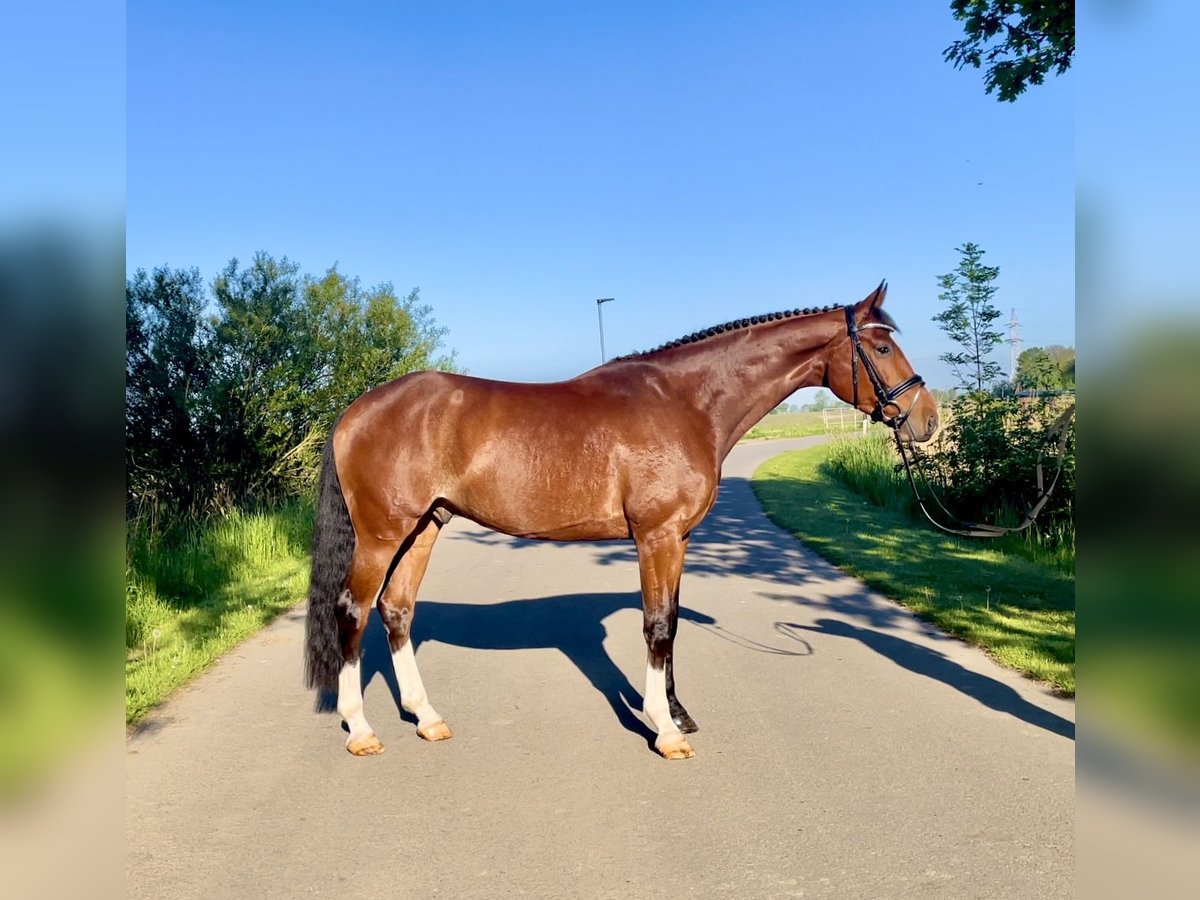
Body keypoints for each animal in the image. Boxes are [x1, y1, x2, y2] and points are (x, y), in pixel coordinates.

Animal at [302, 282, 936, 763]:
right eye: (882, 348)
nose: (926, 420)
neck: (687, 403)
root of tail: (357, 410)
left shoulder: (677, 539)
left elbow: (671, 623)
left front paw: (678, 714)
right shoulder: (656, 536)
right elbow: (657, 627)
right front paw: (665, 731)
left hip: (424, 528)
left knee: (397, 610)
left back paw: (428, 717)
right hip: (382, 535)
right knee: (353, 611)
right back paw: (361, 730)